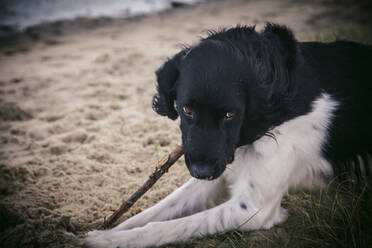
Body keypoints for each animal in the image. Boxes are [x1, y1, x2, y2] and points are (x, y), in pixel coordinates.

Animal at [85, 23, 372, 248]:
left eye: (230, 114)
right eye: (186, 109)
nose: (200, 171)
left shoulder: (253, 208)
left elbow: (163, 226)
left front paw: (106, 241)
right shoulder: (217, 169)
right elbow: (153, 212)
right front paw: (104, 232)